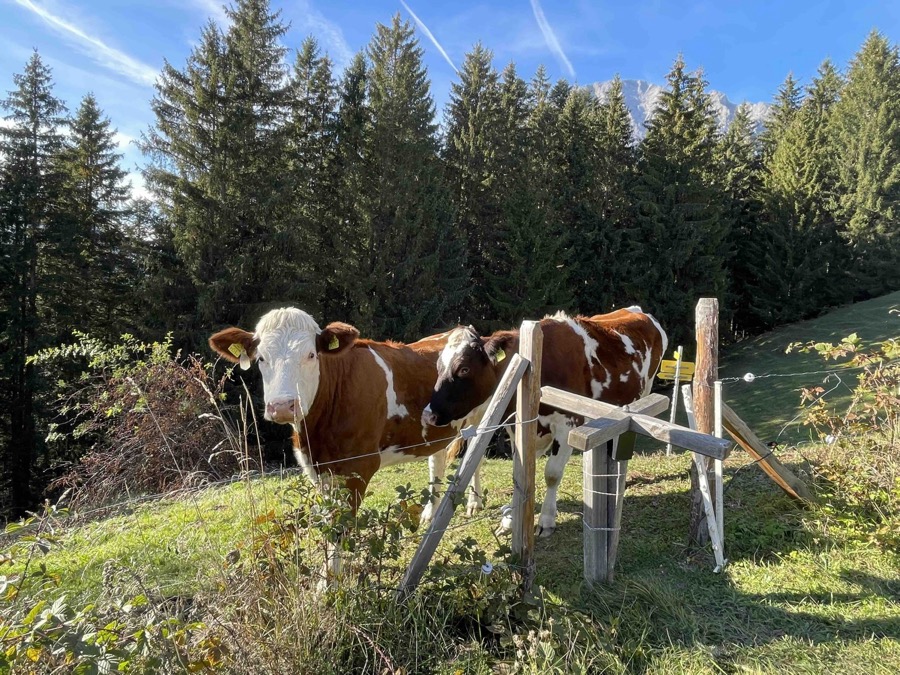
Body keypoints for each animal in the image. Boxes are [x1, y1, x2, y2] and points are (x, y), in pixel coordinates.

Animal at [209, 308, 465, 582]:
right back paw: (430, 514)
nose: (282, 407)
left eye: (311, 355)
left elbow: (341, 526)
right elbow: (328, 519)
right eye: (261, 359)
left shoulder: (360, 466)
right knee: (437, 460)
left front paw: (328, 583)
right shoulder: (318, 469)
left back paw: (474, 504)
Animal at [422, 307, 667, 538]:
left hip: (643, 394)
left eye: (464, 369)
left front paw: (546, 520)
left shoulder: (568, 423)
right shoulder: (518, 425)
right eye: (438, 368)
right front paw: (511, 519)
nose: (428, 415)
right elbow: (519, 471)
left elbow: (552, 473)